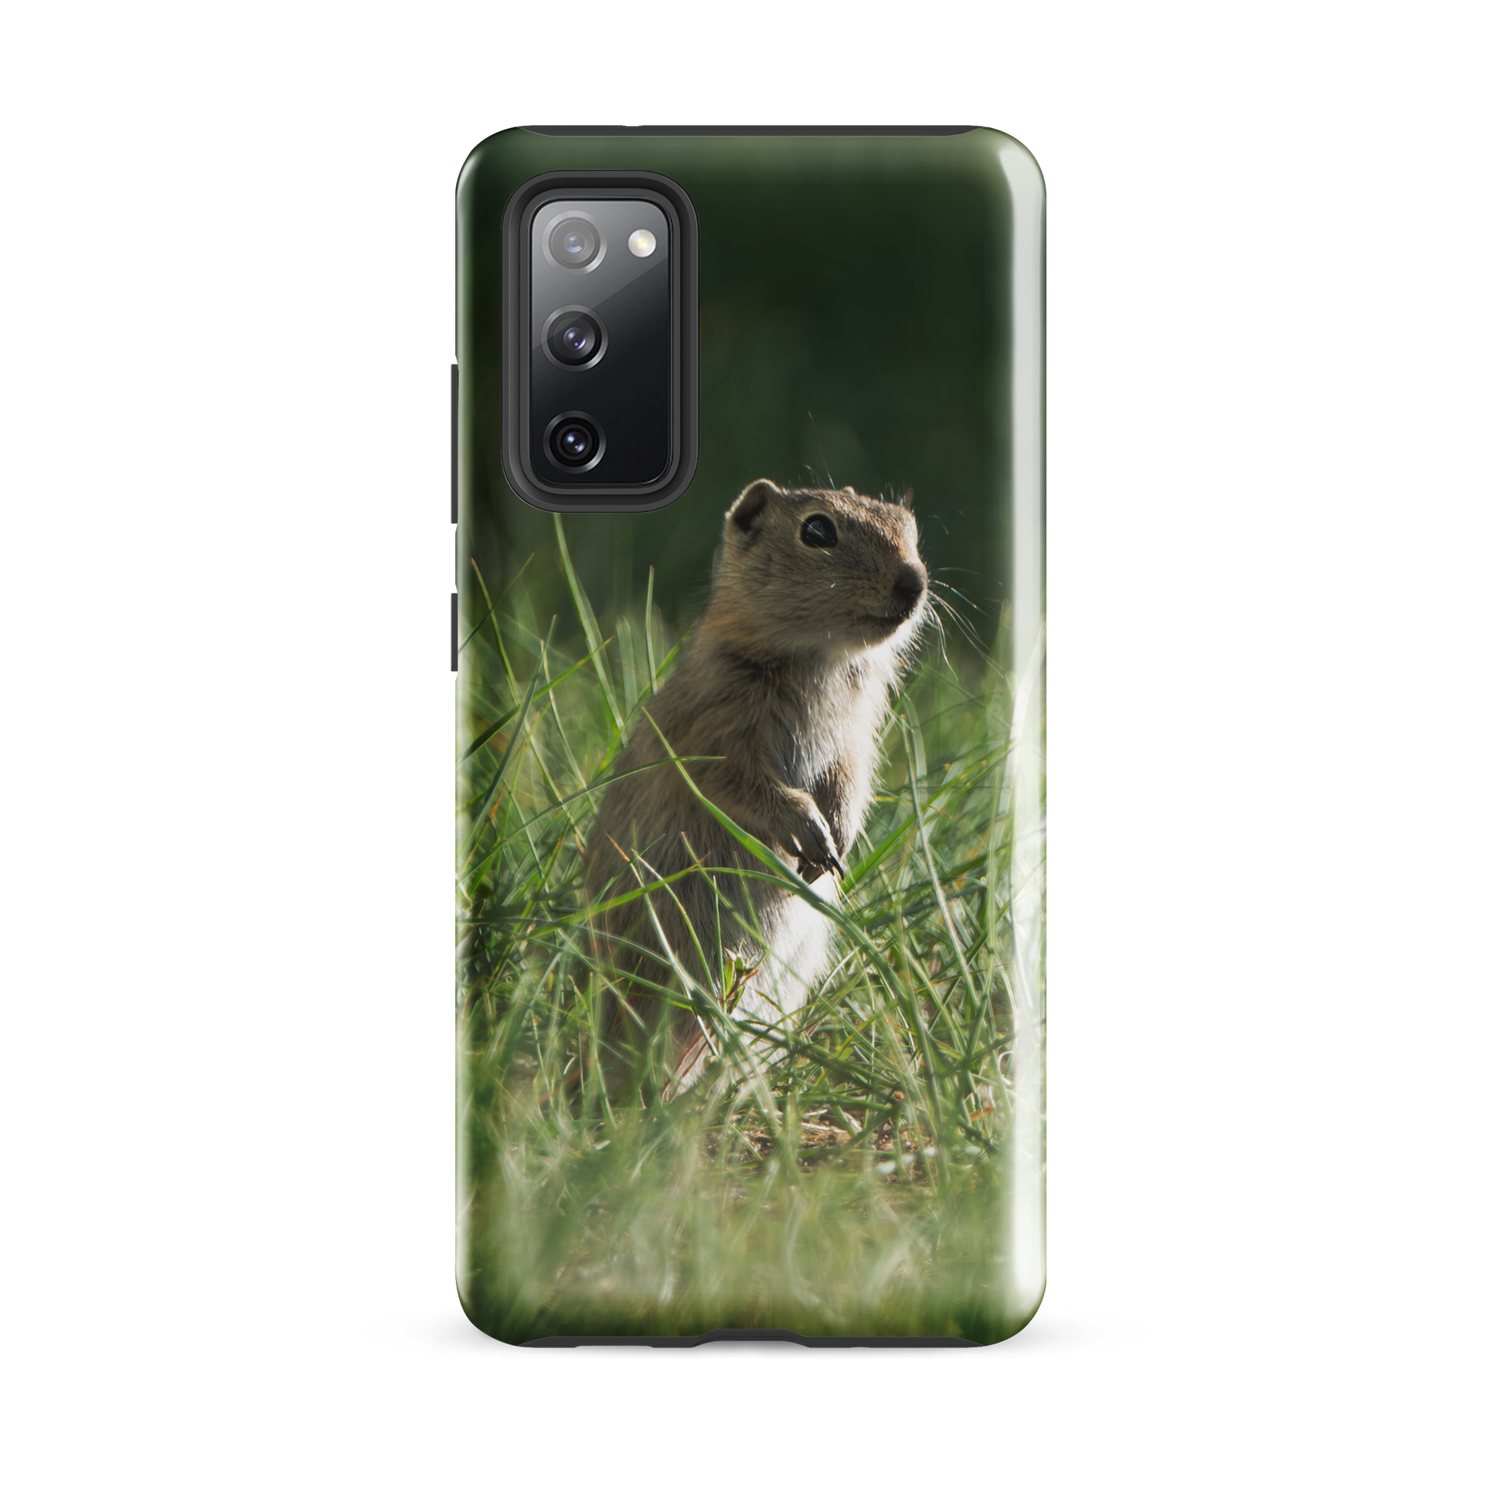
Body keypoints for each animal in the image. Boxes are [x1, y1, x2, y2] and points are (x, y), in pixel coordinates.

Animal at [583, 478, 929, 1098]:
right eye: (817, 530)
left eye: (910, 531)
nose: (913, 584)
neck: (820, 658)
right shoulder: (718, 734)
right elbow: (749, 785)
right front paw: (812, 837)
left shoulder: (858, 740)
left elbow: (851, 783)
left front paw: (834, 848)